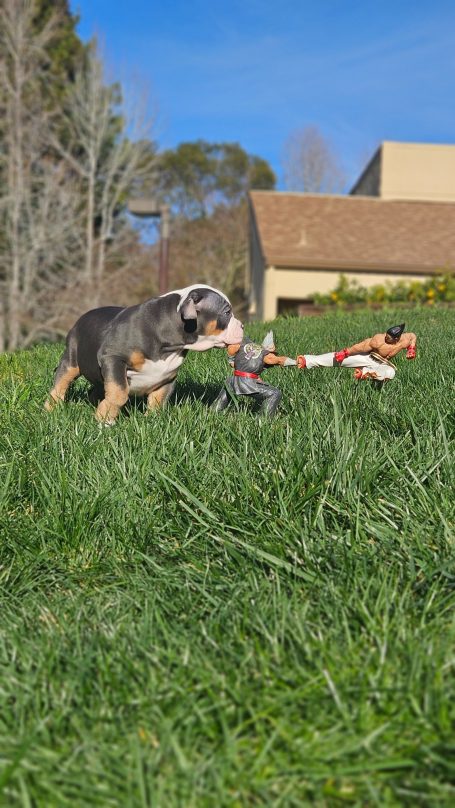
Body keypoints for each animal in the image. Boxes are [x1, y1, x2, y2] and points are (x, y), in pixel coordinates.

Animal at [46, 282, 244, 422]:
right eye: (227, 312)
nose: (242, 326)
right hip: (71, 360)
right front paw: (105, 420)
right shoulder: (113, 359)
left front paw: (152, 421)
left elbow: (158, 399)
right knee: (60, 385)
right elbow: (119, 393)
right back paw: (51, 409)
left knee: (96, 389)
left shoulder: (168, 376)